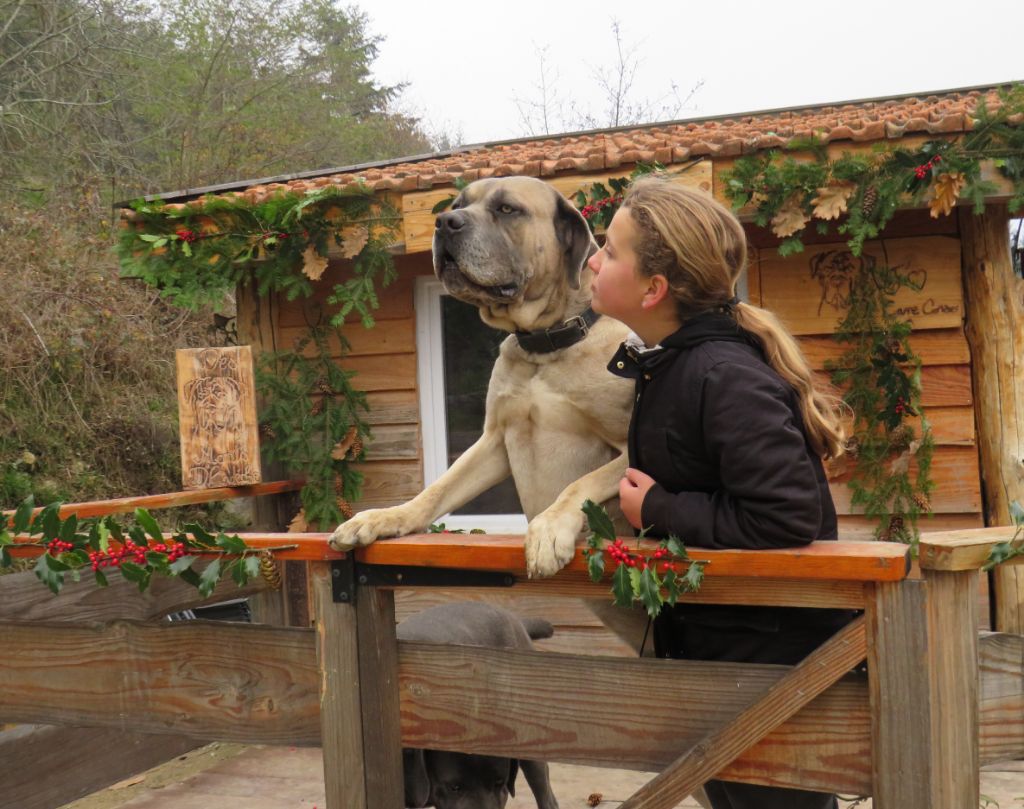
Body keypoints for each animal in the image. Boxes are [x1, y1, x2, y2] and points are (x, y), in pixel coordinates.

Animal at [327, 174, 630, 581]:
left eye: (507, 209)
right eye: (457, 205)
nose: (444, 223)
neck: (544, 346)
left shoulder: (632, 449)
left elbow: (581, 483)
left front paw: (549, 527)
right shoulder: (495, 440)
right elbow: (438, 489)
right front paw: (385, 516)